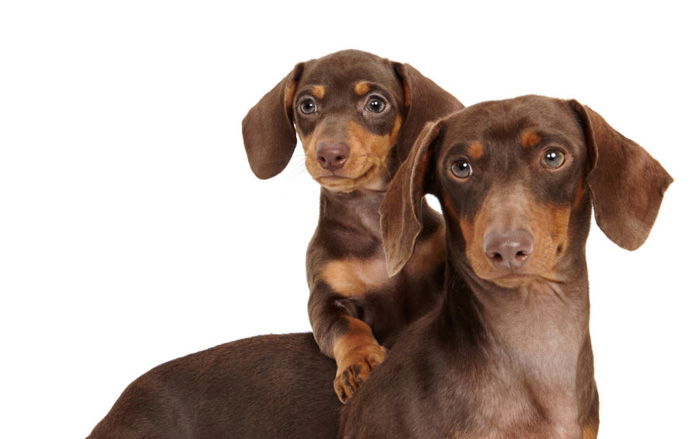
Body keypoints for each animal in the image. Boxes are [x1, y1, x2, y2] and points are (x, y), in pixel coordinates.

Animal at [243, 49, 462, 402]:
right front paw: (361, 361)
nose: (329, 154)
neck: (374, 225)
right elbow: (349, 327)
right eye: (307, 105)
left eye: (375, 103)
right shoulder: (324, 302)